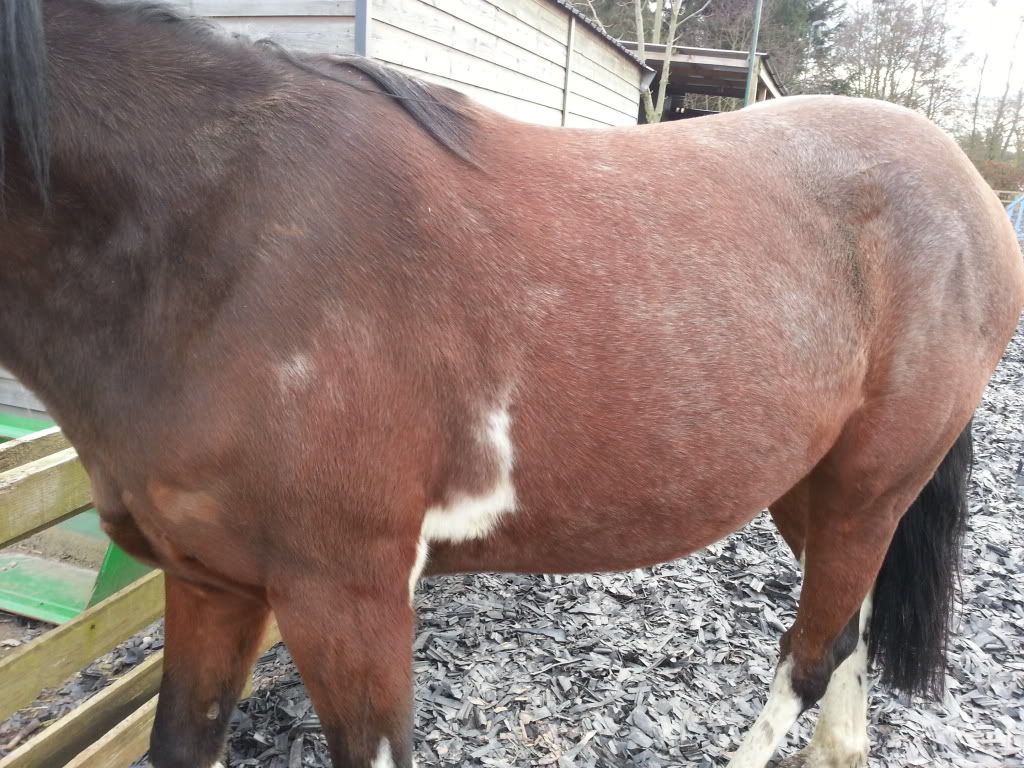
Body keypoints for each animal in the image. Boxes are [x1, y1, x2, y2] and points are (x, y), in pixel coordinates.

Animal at [1, 1, 1021, 766]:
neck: (216, 232)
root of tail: (964, 181)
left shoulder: (348, 598)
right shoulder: (210, 583)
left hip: (870, 487)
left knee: (811, 658)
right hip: (817, 489)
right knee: (848, 639)